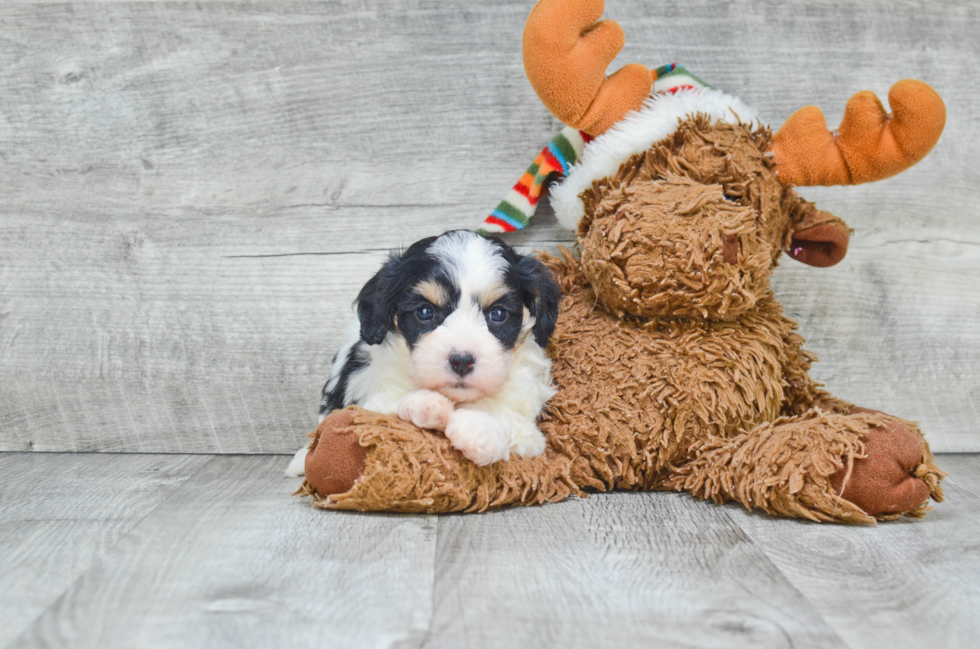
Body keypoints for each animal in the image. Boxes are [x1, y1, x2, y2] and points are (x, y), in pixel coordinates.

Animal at [286, 229, 560, 476]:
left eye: (498, 314)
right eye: (425, 312)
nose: (462, 361)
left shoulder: (529, 425)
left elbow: (505, 414)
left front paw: (479, 431)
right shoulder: (369, 395)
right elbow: (386, 406)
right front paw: (425, 404)